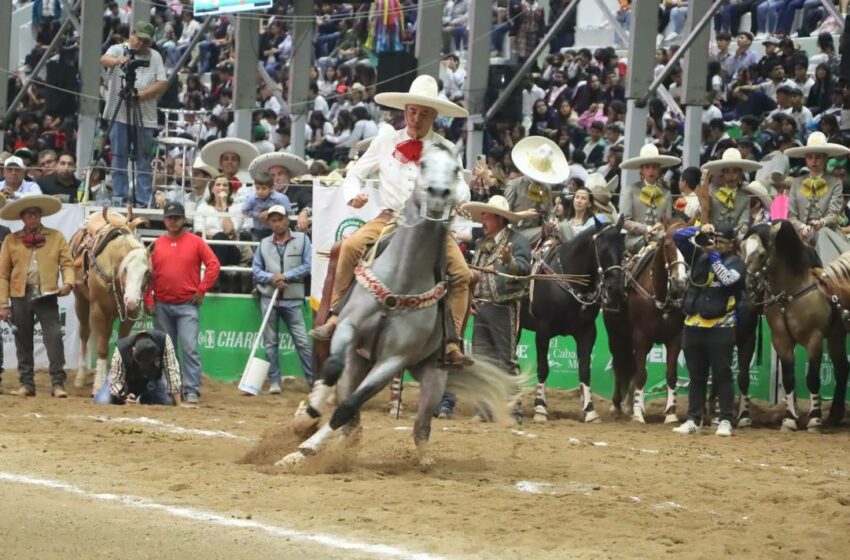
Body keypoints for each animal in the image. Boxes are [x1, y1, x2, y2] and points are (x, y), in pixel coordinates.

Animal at [71, 209, 151, 394]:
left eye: (147, 273)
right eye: (126, 269)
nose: (131, 300)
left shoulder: (130, 315)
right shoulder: (98, 309)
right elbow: (101, 348)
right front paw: (99, 385)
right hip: (81, 300)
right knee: (85, 334)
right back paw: (81, 376)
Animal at [282, 144, 512, 468]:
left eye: (456, 169)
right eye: (423, 164)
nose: (438, 193)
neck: (402, 280)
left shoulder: (394, 359)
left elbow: (349, 405)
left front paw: (304, 448)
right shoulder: (349, 328)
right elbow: (334, 370)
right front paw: (306, 419)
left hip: (433, 375)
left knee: (417, 425)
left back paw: (423, 460)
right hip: (356, 358)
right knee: (343, 397)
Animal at [520, 217, 628, 422]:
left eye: (623, 248)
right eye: (601, 247)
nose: (615, 288)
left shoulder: (587, 332)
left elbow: (585, 370)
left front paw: (590, 410)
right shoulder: (543, 330)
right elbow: (543, 368)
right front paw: (540, 408)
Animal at [604, 221, 688, 422]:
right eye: (668, 245)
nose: (680, 282)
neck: (660, 295)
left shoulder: (674, 339)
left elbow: (671, 374)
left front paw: (670, 413)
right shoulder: (640, 337)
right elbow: (642, 374)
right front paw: (638, 414)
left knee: (631, 365)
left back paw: (628, 404)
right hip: (616, 335)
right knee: (620, 364)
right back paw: (617, 405)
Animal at [740, 219, 844, 428]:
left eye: (762, 254)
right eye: (742, 248)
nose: (748, 286)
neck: (791, 291)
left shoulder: (815, 338)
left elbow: (812, 378)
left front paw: (814, 419)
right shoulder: (781, 338)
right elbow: (788, 378)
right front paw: (789, 419)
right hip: (837, 336)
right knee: (843, 370)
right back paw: (834, 416)